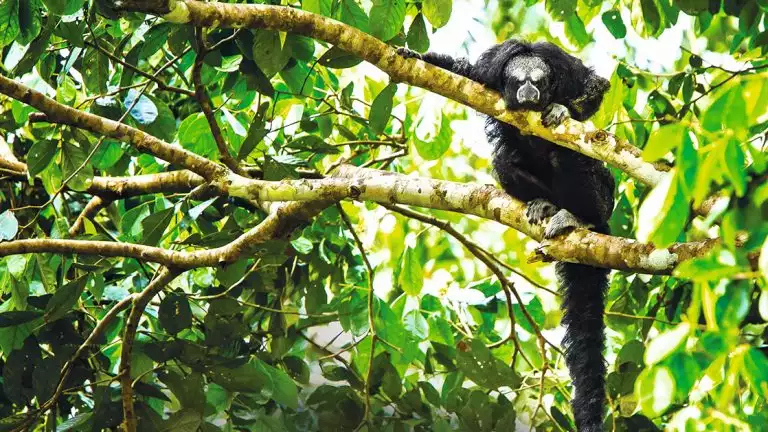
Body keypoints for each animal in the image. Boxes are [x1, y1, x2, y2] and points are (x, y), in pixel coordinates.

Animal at [400, 41, 616, 432]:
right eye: (518, 82)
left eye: (538, 81)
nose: (529, 92)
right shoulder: (489, 70)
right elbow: (461, 72)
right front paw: (417, 57)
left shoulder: (564, 66)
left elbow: (595, 85)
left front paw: (563, 108)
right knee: (504, 159)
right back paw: (545, 204)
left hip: (606, 196)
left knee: (569, 158)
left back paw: (582, 218)